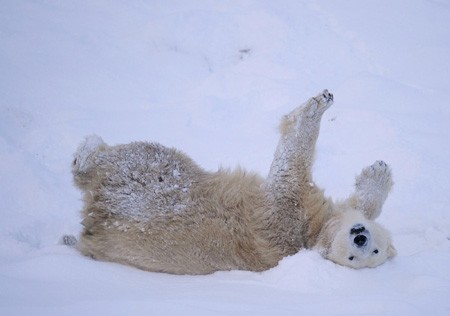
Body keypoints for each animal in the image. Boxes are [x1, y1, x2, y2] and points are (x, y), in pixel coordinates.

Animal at [65, 89, 396, 274]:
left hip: (149, 182)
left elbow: (288, 174)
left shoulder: (285, 218)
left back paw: (87, 150)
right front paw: (379, 173)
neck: (309, 238)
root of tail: (95, 222)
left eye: (366, 255)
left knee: (134, 157)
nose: (360, 239)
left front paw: (314, 109)